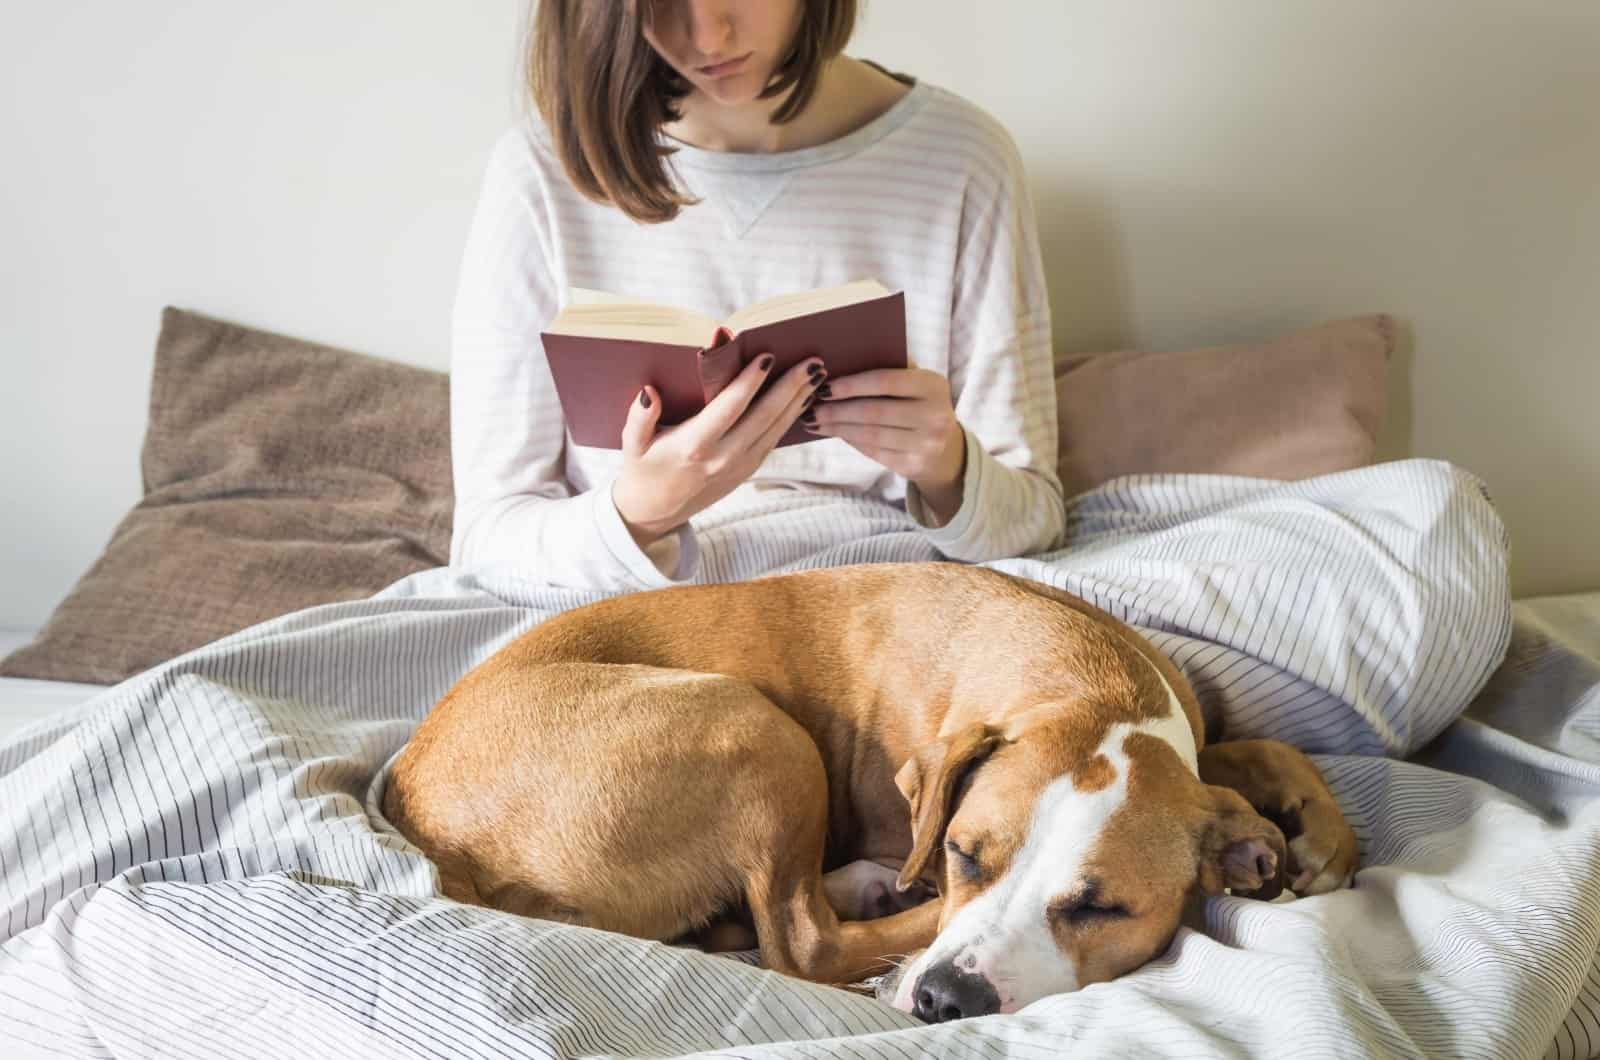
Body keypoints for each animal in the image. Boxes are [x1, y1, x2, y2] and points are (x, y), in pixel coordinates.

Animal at [384, 563, 1350, 1024]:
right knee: (801, 941)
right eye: (963, 853)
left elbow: (1261, 745)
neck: (1090, 686)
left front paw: (1324, 839)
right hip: (756, 728)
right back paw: (874, 893)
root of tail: (427, 825)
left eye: (1101, 908)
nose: (946, 1002)